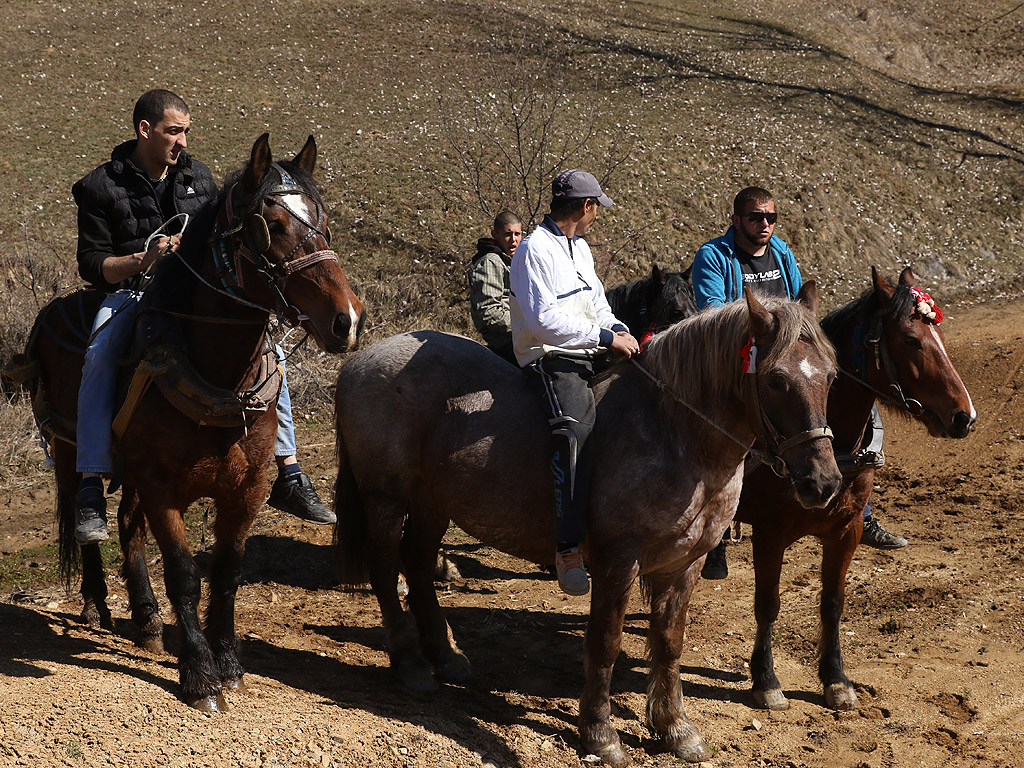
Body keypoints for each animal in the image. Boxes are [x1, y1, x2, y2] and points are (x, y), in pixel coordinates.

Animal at [16, 135, 364, 712]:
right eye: (270, 226)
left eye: (323, 221)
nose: (348, 319)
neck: (214, 374)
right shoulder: (162, 487)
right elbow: (183, 574)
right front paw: (200, 676)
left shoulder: (246, 489)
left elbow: (226, 574)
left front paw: (229, 664)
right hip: (67, 448)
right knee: (88, 515)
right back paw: (97, 602)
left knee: (129, 528)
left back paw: (147, 619)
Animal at [335, 286, 839, 765]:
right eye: (775, 379)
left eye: (831, 377)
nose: (823, 482)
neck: (674, 431)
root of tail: (360, 361)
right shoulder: (620, 562)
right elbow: (605, 643)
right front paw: (601, 734)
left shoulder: (686, 564)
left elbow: (669, 642)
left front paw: (674, 728)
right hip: (385, 500)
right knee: (386, 570)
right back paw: (410, 663)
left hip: (432, 502)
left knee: (419, 564)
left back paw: (445, 655)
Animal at [737, 268, 974, 712]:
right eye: (911, 340)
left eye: (939, 335)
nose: (964, 416)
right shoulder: (769, 533)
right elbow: (768, 604)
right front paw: (766, 680)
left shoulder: (846, 532)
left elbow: (832, 604)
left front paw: (836, 678)